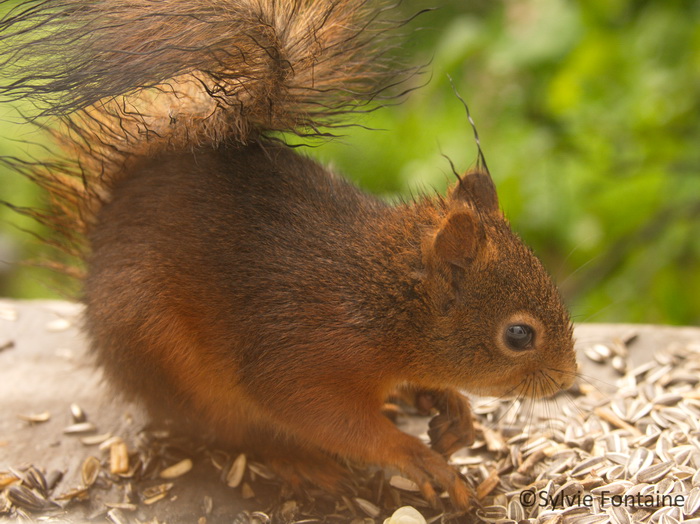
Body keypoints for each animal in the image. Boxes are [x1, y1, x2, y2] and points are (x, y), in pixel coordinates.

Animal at [2, 0, 576, 510]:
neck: (381, 296)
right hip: (173, 366)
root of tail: (102, 240)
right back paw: (303, 462)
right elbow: (326, 417)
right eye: (518, 335)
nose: (568, 380)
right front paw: (416, 457)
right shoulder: (304, 353)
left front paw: (453, 409)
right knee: (233, 433)